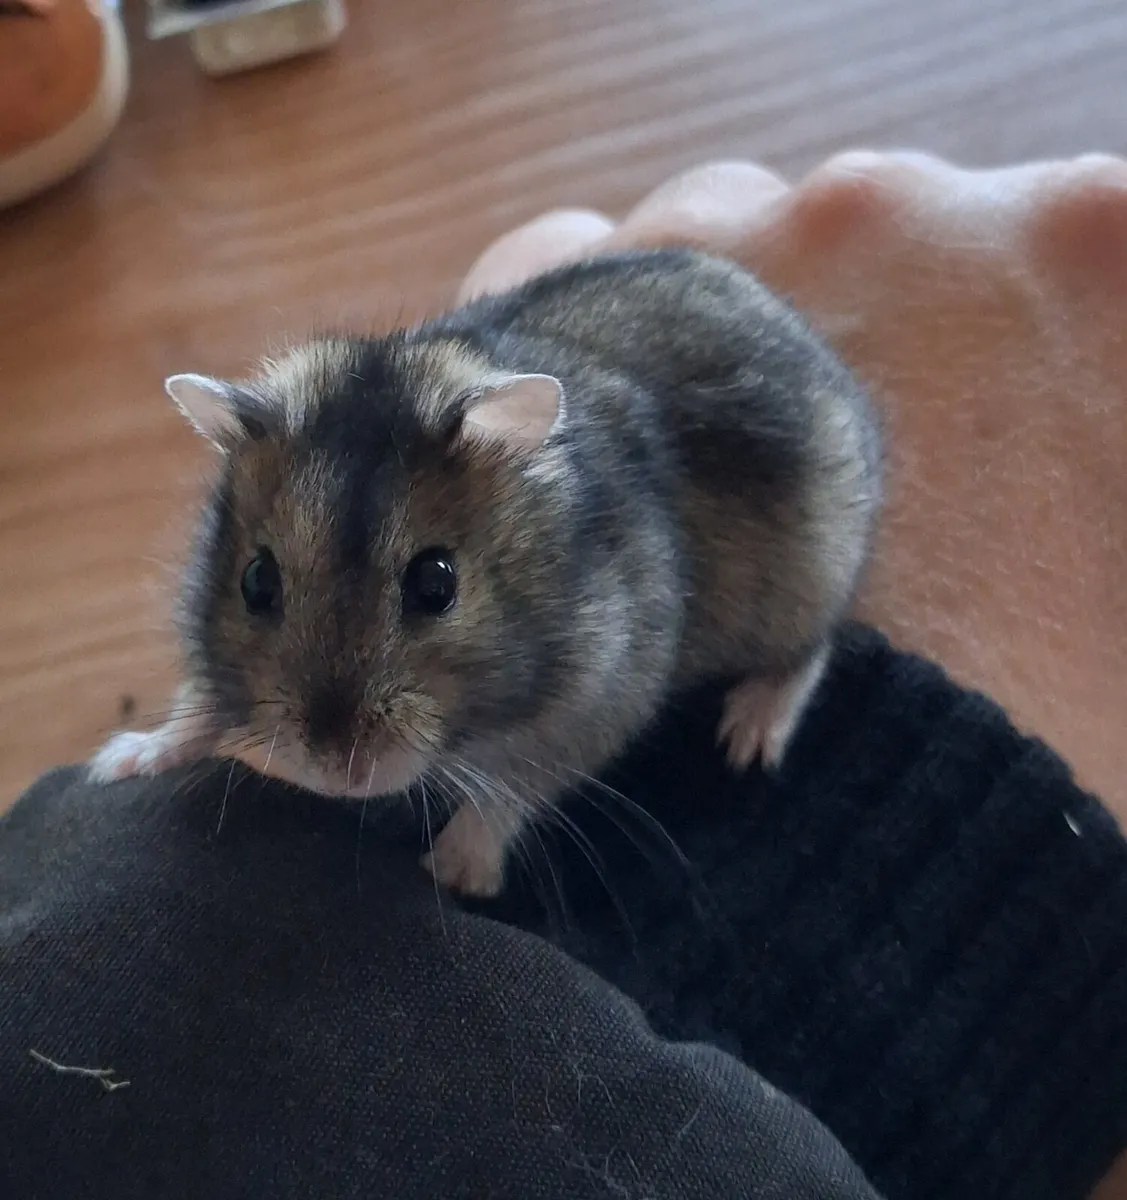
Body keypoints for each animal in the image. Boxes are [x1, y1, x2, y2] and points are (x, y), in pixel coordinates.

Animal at [89, 249, 881, 897]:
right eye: (256, 582)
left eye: (436, 583)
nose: (336, 777)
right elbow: (194, 704)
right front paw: (118, 764)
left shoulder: (598, 703)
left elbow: (510, 791)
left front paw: (453, 874)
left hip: (812, 576)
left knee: (810, 652)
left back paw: (748, 740)